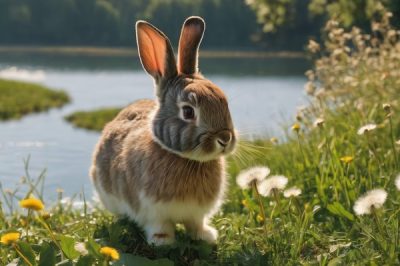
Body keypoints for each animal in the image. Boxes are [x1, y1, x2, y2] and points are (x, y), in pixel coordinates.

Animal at [89, 16, 236, 245]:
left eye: (224, 101)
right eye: (188, 111)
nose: (225, 138)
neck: (188, 160)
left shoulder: (196, 214)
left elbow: (196, 224)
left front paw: (206, 236)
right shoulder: (154, 213)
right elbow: (160, 226)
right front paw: (162, 241)